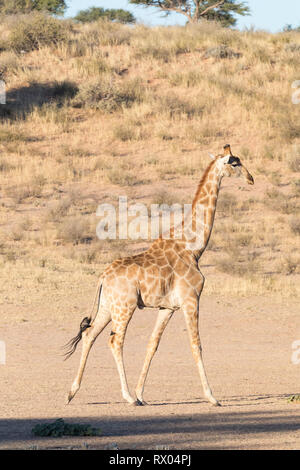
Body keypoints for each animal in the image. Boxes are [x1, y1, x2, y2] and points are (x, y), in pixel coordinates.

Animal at [65, 145, 253, 406]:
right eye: (235, 163)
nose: (251, 178)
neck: (193, 247)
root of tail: (102, 277)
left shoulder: (167, 307)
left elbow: (152, 344)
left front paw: (141, 393)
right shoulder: (191, 300)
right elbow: (196, 345)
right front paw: (212, 397)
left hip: (107, 306)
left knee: (89, 334)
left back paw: (72, 393)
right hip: (125, 307)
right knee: (115, 341)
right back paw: (126, 397)